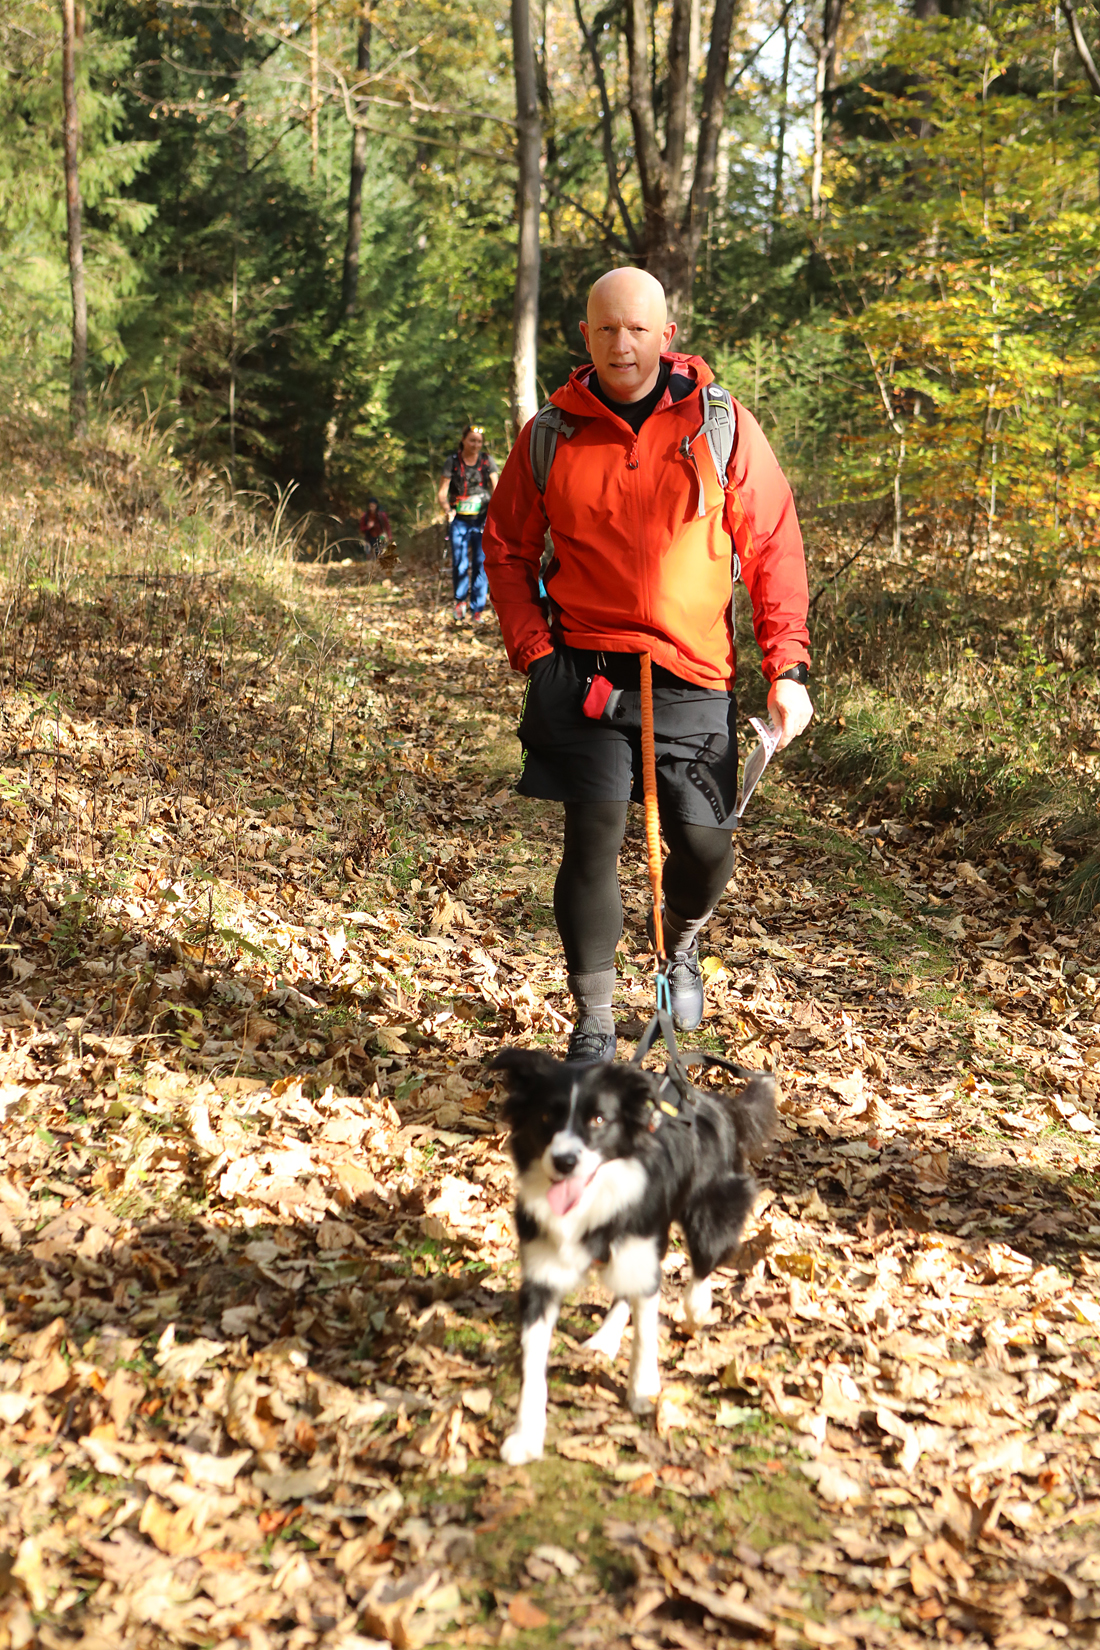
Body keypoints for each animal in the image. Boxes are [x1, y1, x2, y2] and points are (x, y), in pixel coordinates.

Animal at [490, 1047, 776, 1465]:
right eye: (545, 1117)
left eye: (598, 1119)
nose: (564, 1162)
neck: (590, 1203)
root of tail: (714, 1102)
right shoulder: (542, 1273)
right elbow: (533, 1360)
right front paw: (526, 1435)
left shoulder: (640, 1239)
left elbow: (645, 1333)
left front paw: (643, 1389)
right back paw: (605, 1338)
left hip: (708, 1211)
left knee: (700, 1263)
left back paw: (696, 1308)